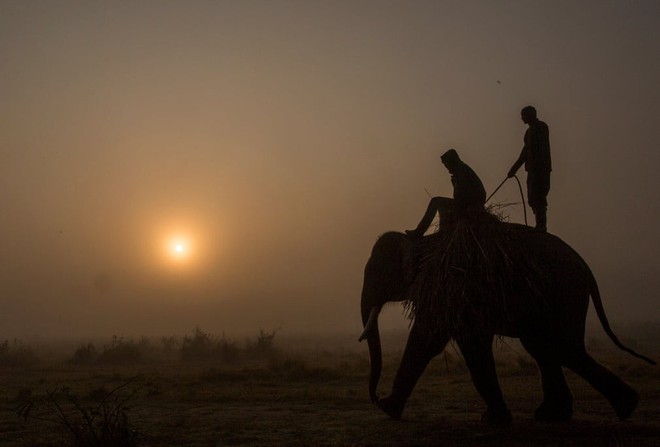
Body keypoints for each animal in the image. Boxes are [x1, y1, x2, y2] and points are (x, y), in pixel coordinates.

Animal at [360, 226, 656, 426]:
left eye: (376, 273)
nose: (373, 397)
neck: (421, 240)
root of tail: (587, 270)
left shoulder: (453, 287)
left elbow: (444, 341)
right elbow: (438, 341)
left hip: (564, 293)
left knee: (561, 348)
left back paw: (624, 406)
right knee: (545, 347)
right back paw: (562, 415)